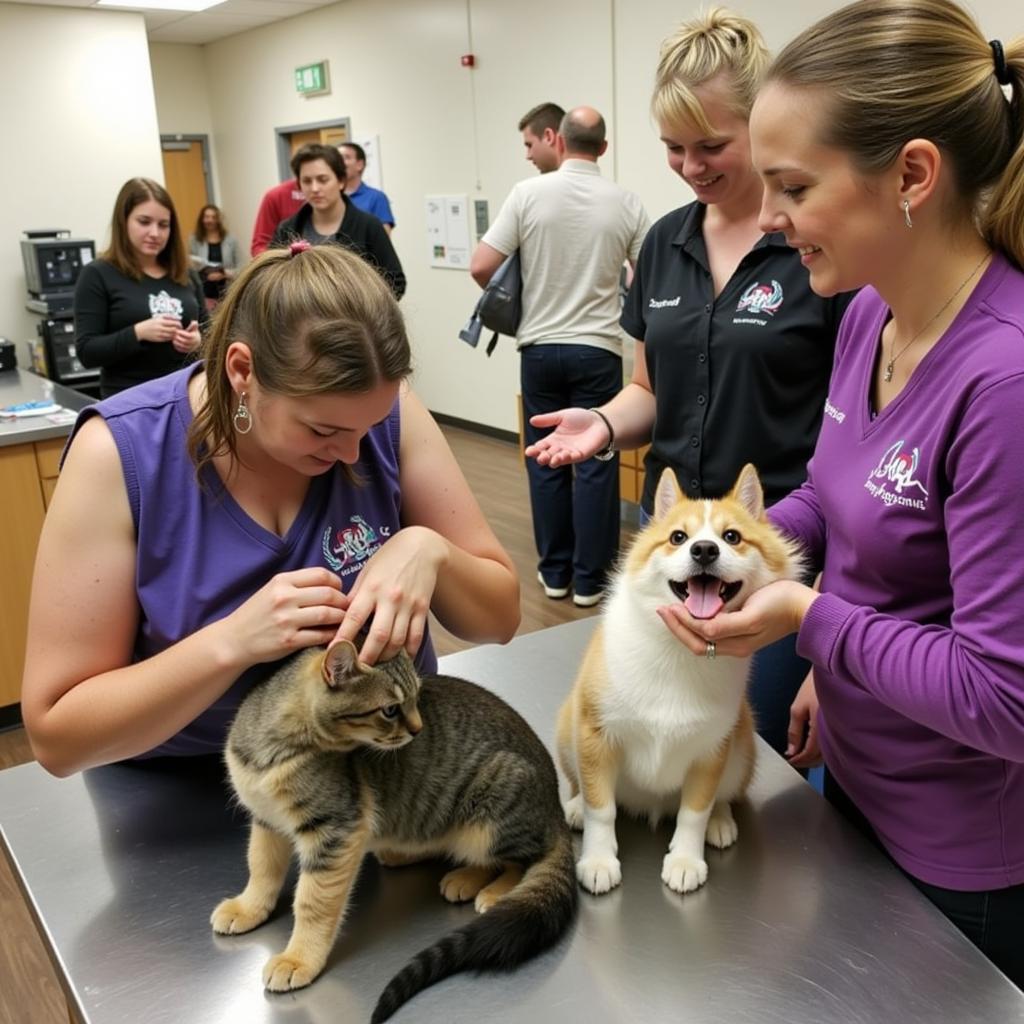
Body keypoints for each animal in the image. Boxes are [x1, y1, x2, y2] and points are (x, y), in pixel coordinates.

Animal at [209, 638, 577, 1024]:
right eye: (390, 710)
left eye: (417, 698)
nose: (418, 729)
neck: (277, 749)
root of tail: (554, 805)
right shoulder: (265, 820)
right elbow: (261, 868)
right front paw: (248, 908)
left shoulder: (337, 829)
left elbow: (313, 902)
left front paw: (299, 958)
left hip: (491, 812)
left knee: (520, 859)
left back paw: (492, 891)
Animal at [557, 464, 802, 897]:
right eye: (677, 538)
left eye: (732, 537)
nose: (704, 550)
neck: (678, 653)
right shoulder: (594, 734)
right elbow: (601, 808)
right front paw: (598, 859)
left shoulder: (711, 752)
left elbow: (694, 812)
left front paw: (686, 859)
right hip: (567, 734)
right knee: (579, 786)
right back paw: (574, 807)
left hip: (741, 750)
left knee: (722, 797)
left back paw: (721, 821)